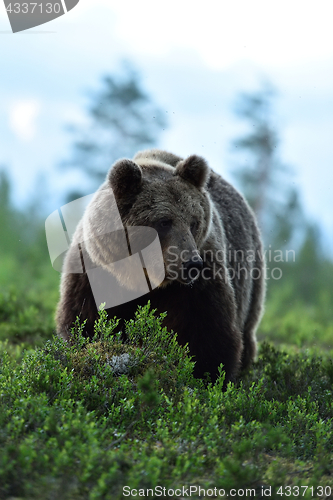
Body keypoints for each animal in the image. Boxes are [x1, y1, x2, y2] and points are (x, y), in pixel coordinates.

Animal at [56, 148, 264, 382]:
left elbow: (207, 334)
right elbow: (85, 320)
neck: (140, 278)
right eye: (164, 222)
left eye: (193, 222)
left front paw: (205, 374)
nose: (192, 264)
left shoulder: (198, 285)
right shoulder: (96, 272)